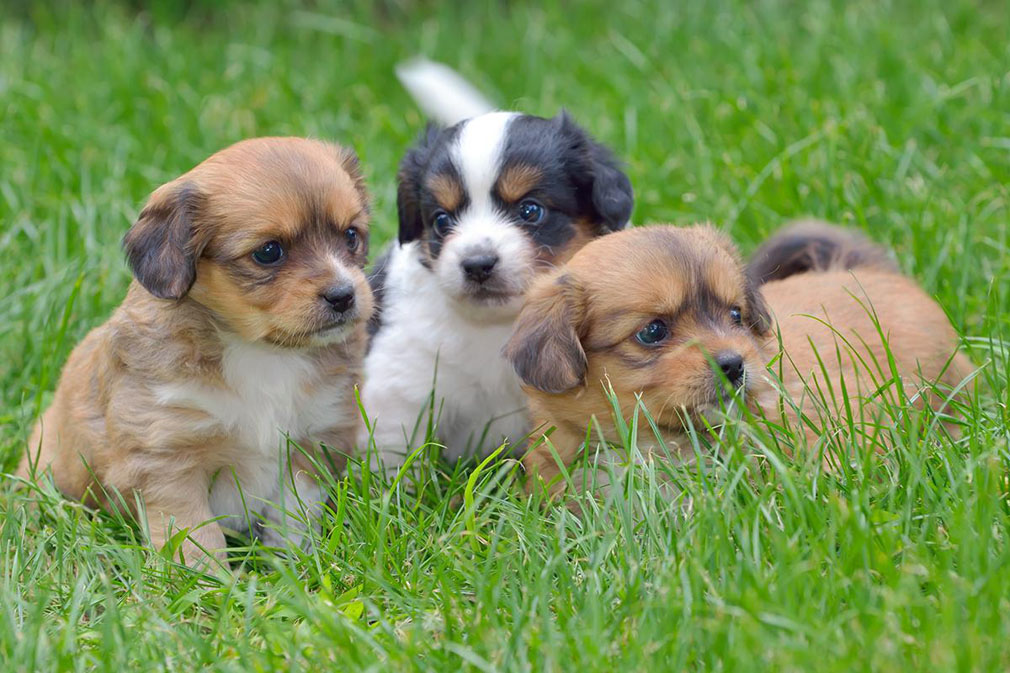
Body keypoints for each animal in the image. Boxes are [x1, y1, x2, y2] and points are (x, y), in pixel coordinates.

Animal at [18, 136, 375, 565]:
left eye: (351, 235)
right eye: (269, 251)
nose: (343, 295)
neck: (262, 352)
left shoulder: (312, 442)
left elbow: (293, 516)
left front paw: (293, 563)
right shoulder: (167, 459)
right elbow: (194, 536)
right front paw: (208, 578)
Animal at [361, 68, 630, 468]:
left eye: (530, 210)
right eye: (441, 220)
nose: (476, 265)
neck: (496, 324)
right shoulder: (401, 384)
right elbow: (395, 458)